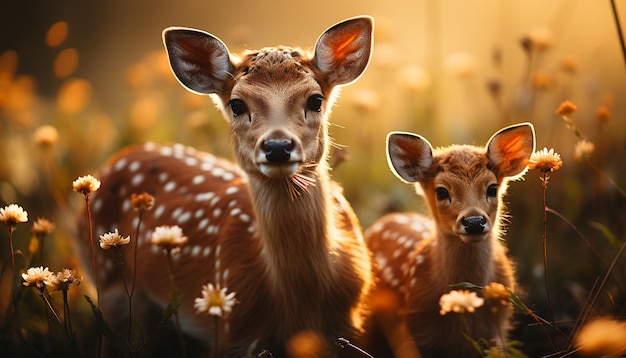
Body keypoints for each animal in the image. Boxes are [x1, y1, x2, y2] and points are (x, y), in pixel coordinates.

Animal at [83, 17, 376, 358]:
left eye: (315, 100)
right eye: (237, 104)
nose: (277, 147)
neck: (298, 304)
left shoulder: (351, 326)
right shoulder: (231, 334)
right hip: (109, 283)